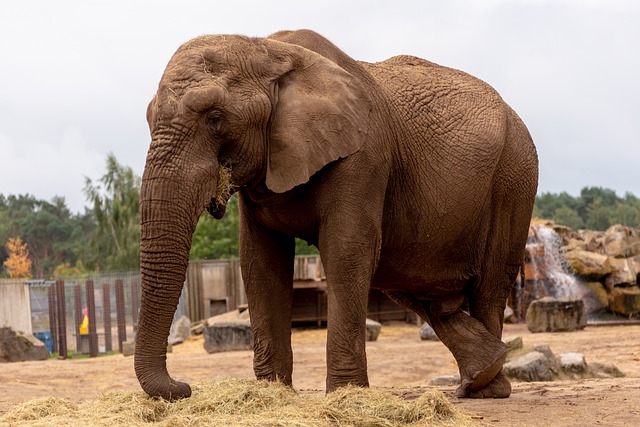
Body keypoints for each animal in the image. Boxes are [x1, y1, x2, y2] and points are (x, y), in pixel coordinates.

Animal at [136, 29, 540, 402]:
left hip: (515, 175)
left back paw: (488, 390)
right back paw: (479, 374)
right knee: (413, 281)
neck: (271, 49)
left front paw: (346, 395)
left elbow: (346, 250)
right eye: (149, 118)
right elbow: (260, 263)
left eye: (215, 118)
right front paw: (273, 394)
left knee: (488, 285)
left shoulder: (363, 155)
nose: (184, 388)